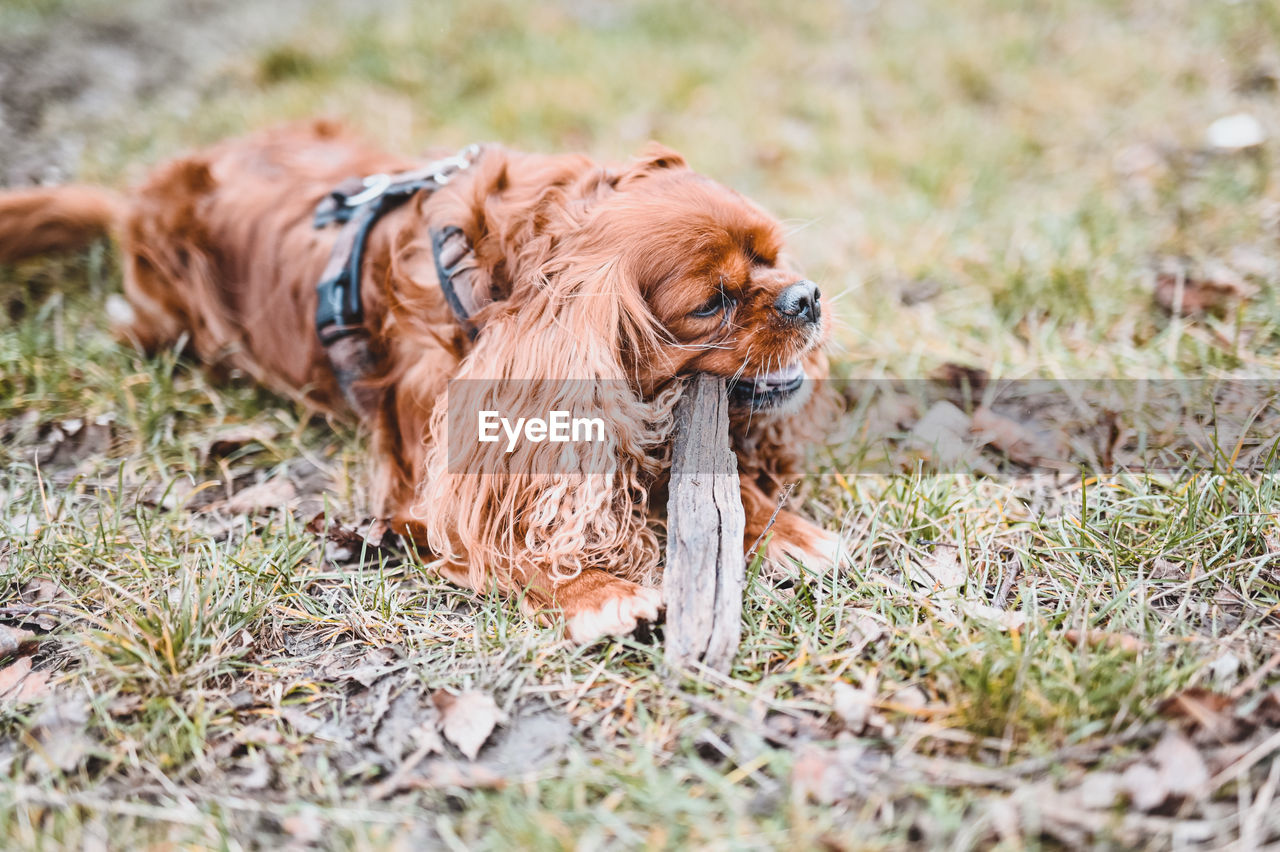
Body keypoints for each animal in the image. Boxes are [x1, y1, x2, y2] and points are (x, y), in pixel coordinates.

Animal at [2, 119, 839, 637]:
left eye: (772, 256)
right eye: (712, 303)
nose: (806, 297)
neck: (492, 284)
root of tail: (132, 202)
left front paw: (781, 528)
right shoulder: (439, 482)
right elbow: (505, 532)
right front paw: (596, 592)